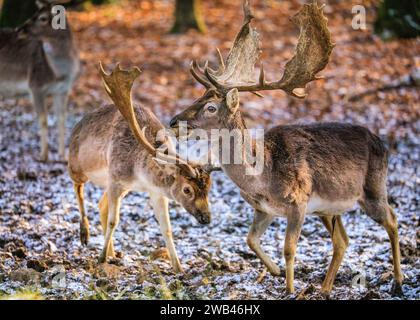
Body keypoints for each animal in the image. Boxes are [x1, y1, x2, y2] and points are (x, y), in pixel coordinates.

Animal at [0, 0, 80, 160]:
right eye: (34, 13)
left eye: (43, 18)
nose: (19, 29)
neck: (58, 73)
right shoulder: (35, 86)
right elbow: (43, 119)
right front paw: (44, 155)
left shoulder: (63, 90)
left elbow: (62, 119)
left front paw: (62, 155)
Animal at [69, 63, 213, 270]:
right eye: (187, 189)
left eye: (209, 188)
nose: (206, 218)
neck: (140, 174)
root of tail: (77, 126)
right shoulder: (116, 178)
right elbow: (114, 221)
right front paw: (101, 258)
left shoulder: (156, 192)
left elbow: (166, 228)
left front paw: (179, 268)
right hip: (76, 165)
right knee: (78, 186)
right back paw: (85, 234)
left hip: (119, 187)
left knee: (101, 204)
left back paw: (113, 253)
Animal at [171, 0, 404, 296]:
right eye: (197, 97)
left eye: (211, 107)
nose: (173, 121)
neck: (262, 177)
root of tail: (381, 143)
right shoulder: (264, 209)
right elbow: (250, 239)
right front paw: (275, 272)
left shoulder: (298, 202)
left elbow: (289, 249)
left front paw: (290, 289)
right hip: (329, 208)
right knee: (343, 240)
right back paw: (325, 289)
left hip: (373, 188)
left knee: (393, 221)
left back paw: (398, 282)